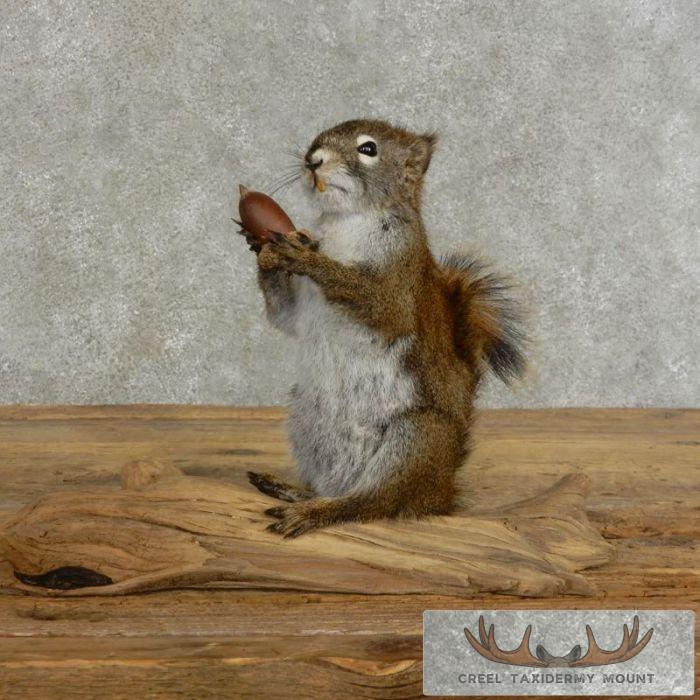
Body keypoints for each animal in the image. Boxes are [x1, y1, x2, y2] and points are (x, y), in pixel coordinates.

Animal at [243, 119, 525, 537]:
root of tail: (439, 493)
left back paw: (313, 513)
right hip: (305, 419)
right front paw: (263, 248)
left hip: (415, 441)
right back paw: (293, 490)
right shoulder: (299, 308)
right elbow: (284, 316)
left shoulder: (399, 283)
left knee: (371, 502)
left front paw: (308, 258)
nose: (313, 161)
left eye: (369, 149)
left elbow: (380, 306)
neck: (347, 221)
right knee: (337, 490)